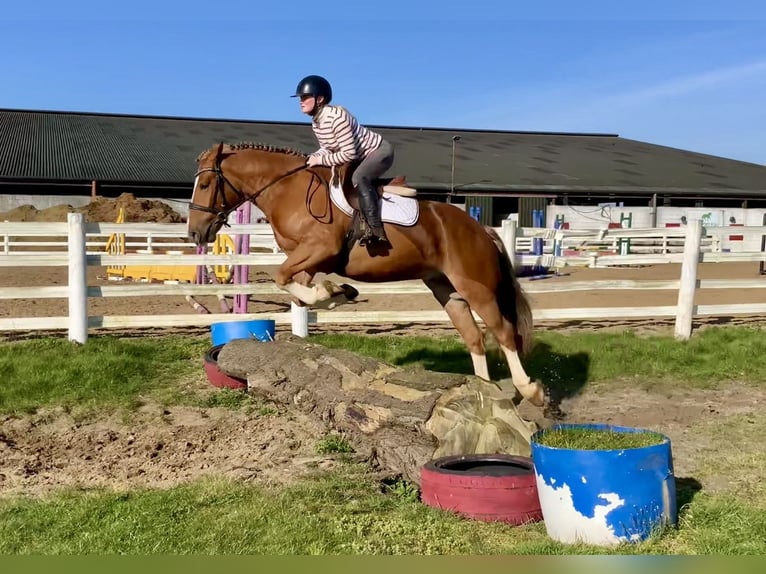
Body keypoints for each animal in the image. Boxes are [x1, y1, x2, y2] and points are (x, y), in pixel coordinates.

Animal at [187, 142, 545, 406]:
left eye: (204, 184)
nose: (195, 233)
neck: (287, 190)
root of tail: (481, 228)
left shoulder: (320, 248)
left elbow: (282, 277)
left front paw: (336, 292)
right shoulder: (309, 261)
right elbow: (296, 287)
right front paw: (336, 293)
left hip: (476, 287)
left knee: (503, 332)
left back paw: (530, 390)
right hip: (447, 289)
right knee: (474, 337)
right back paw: (483, 392)